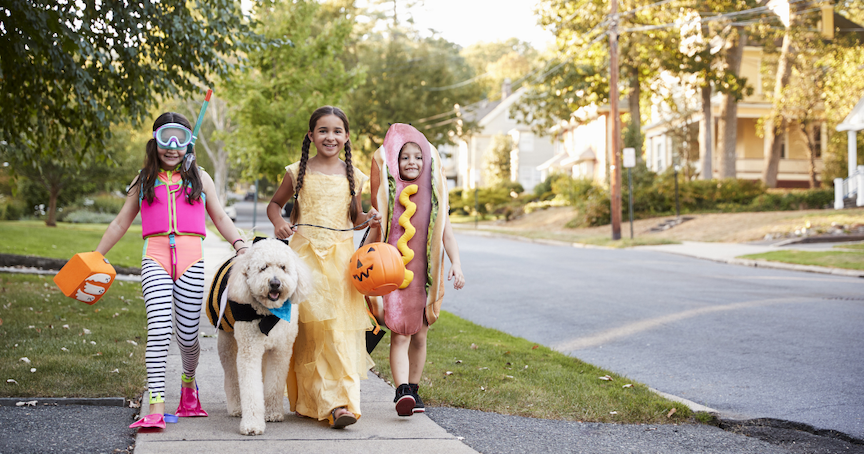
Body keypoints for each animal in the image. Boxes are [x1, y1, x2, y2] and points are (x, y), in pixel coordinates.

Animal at [218, 238, 312, 436]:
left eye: (283, 267)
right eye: (263, 268)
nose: (275, 283)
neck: (269, 313)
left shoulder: (281, 351)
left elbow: (274, 384)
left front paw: (272, 412)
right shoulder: (249, 351)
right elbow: (250, 388)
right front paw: (252, 424)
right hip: (227, 343)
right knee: (232, 376)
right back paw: (236, 407)